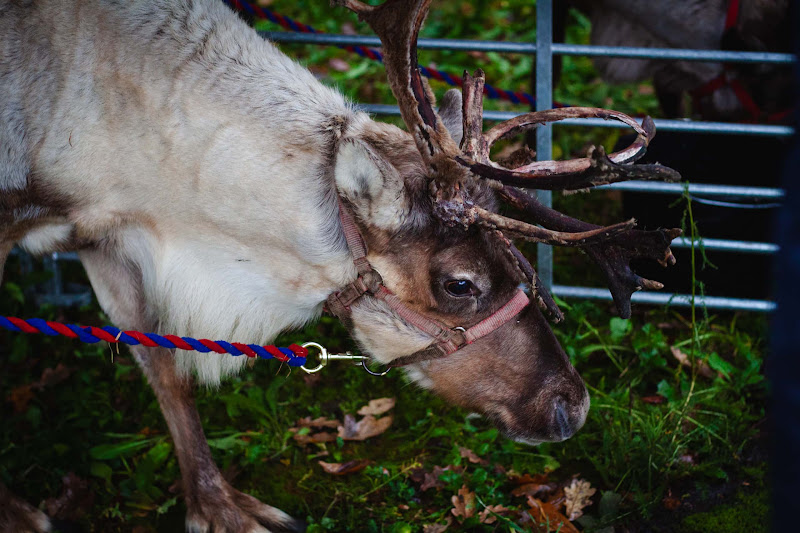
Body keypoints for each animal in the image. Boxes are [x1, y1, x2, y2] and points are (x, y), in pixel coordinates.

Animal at [0, 0, 682, 531]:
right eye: (459, 283)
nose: (575, 406)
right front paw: (18, 515)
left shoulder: (108, 236)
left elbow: (162, 364)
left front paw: (218, 507)